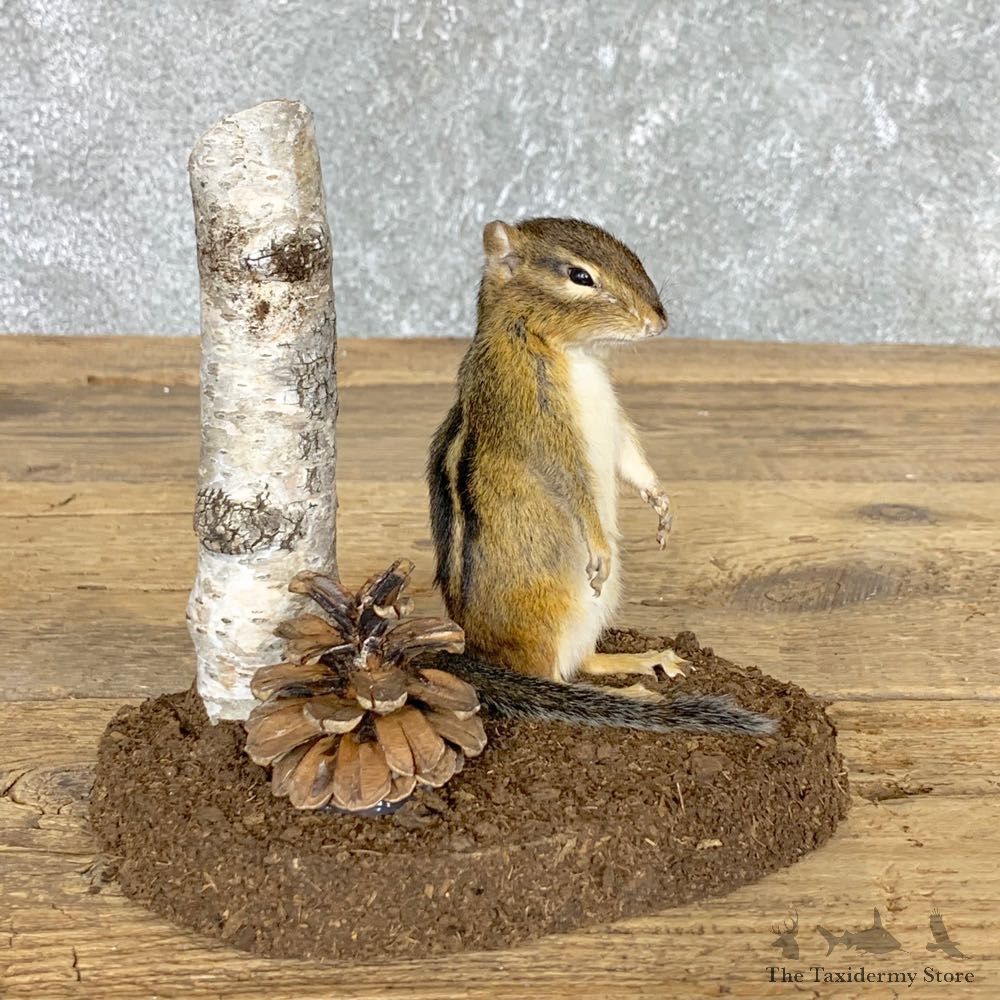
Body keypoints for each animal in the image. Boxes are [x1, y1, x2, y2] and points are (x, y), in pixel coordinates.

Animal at [426, 217, 775, 736]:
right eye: (580, 276)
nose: (658, 322)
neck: (570, 350)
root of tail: (479, 655)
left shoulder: (616, 423)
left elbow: (631, 458)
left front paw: (661, 503)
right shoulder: (543, 427)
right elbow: (574, 488)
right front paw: (598, 544)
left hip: (597, 609)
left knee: (583, 661)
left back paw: (646, 660)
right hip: (551, 615)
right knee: (554, 679)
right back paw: (630, 694)